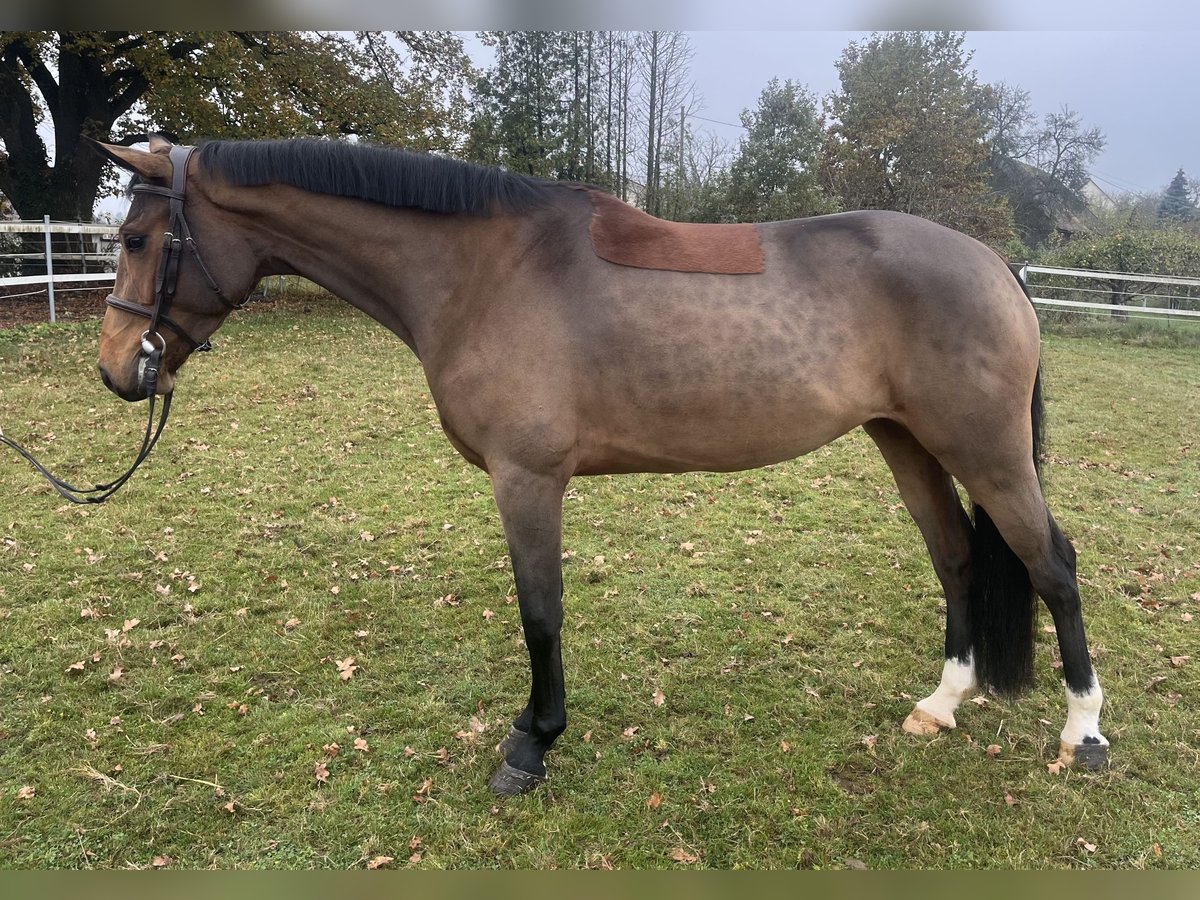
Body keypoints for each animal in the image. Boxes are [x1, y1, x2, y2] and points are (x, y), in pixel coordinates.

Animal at [91, 135, 1104, 796]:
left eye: (137, 241)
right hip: (908, 442)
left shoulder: (527, 479)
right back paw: (943, 703)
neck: (487, 269)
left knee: (1053, 567)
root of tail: (996, 264)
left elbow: (540, 614)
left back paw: (1084, 733)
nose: (114, 369)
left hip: (987, 452)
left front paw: (532, 744)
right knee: (959, 560)